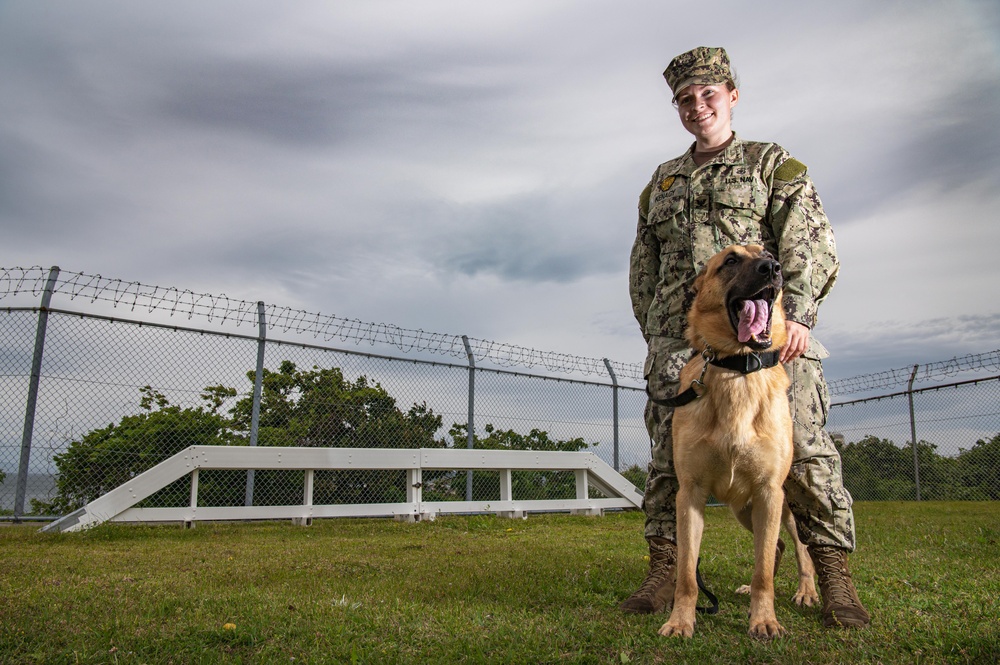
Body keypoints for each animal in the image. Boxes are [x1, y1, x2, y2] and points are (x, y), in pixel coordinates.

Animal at [660, 244, 816, 640]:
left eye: (769, 252)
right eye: (730, 261)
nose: (773, 268)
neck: (738, 369)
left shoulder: (768, 492)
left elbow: (762, 572)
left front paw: (764, 620)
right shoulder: (691, 495)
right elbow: (688, 575)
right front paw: (681, 620)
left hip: (783, 508)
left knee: (799, 546)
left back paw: (807, 591)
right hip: (744, 510)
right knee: (776, 545)